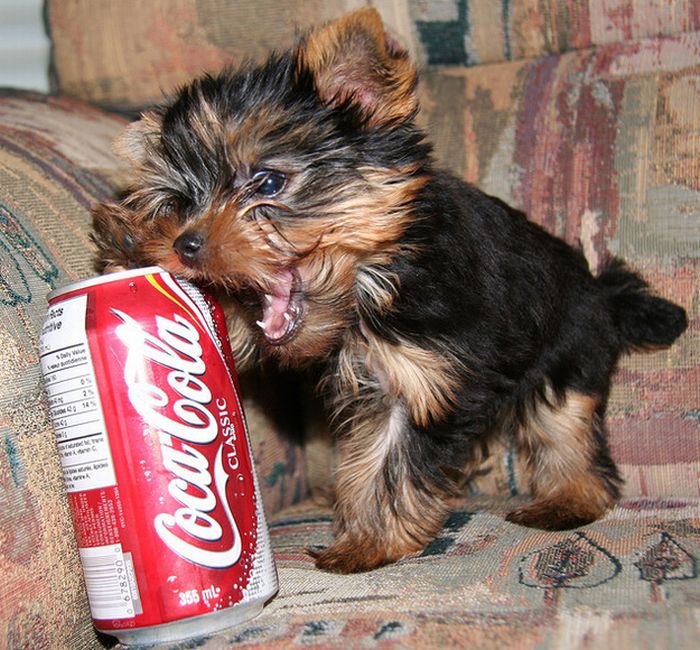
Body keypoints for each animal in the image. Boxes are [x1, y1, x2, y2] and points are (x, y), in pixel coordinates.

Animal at [90, 7, 688, 568]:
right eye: (182, 200)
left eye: (268, 182)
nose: (186, 243)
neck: (375, 279)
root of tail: (601, 292)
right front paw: (130, 246)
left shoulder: (426, 381)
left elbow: (390, 464)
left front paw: (367, 544)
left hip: (566, 354)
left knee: (566, 431)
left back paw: (569, 500)